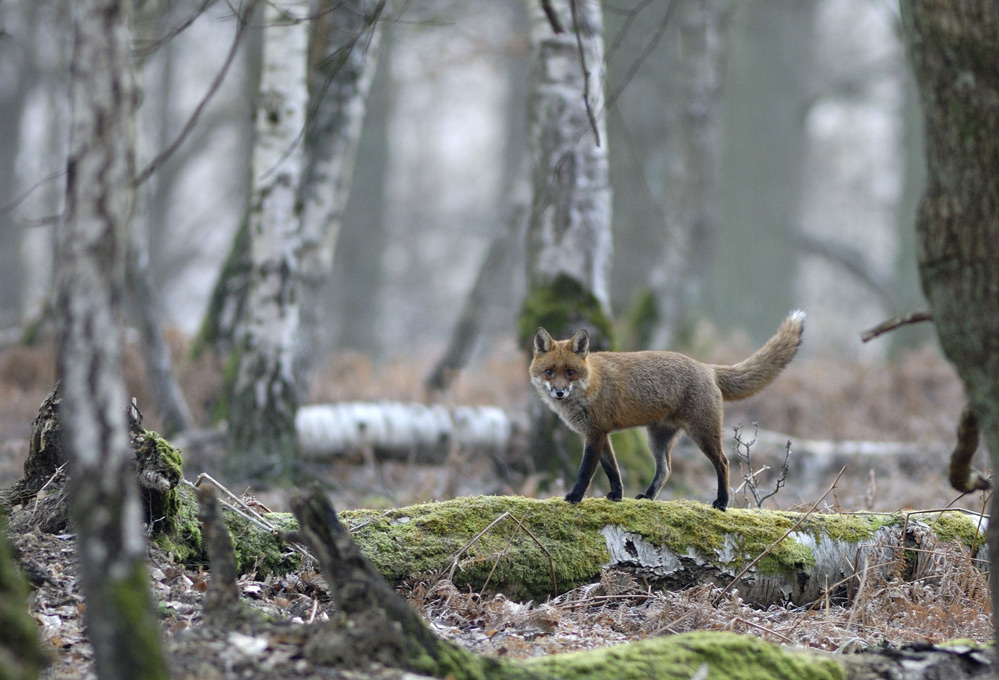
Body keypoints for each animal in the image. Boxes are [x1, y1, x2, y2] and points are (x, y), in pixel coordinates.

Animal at [532, 310, 804, 508]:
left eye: (570, 372)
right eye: (549, 372)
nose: (559, 392)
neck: (591, 384)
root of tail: (707, 367)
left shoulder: (596, 433)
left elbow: (586, 472)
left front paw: (575, 497)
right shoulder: (600, 434)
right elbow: (613, 470)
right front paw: (617, 496)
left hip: (702, 434)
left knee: (723, 462)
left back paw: (722, 501)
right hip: (657, 439)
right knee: (665, 470)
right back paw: (648, 496)